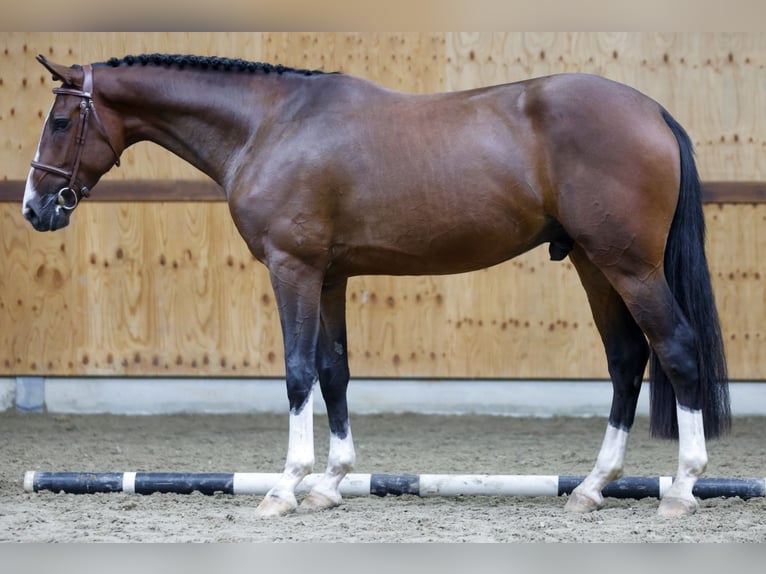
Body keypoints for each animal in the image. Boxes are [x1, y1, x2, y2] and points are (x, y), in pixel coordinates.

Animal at [24, 55, 732, 520]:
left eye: (59, 122)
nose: (35, 208)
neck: (270, 125)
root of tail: (651, 110)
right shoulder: (330, 276)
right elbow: (333, 371)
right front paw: (331, 482)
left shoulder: (293, 269)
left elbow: (298, 372)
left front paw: (285, 488)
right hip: (592, 261)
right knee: (626, 360)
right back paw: (591, 485)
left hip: (628, 264)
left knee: (676, 348)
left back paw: (682, 489)